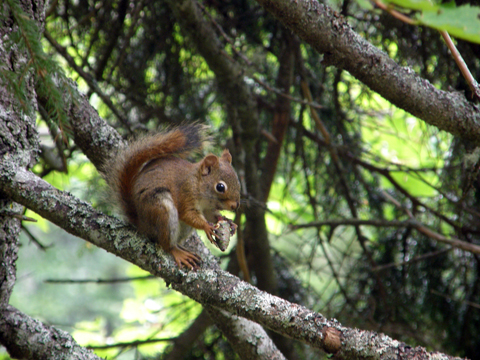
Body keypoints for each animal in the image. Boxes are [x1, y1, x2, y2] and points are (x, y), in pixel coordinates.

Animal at [105, 125, 240, 268]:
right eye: (220, 187)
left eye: (238, 181)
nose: (235, 205)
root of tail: (141, 223)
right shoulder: (186, 193)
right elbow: (188, 214)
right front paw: (207, 227)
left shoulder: (207, 208)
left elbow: (211, 215)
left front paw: (227, 220)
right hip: (162, 210)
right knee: (165, 244)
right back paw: (178, 252)